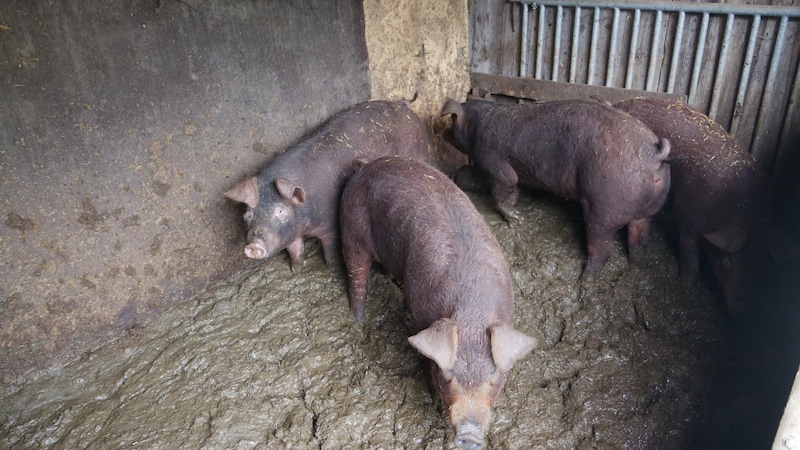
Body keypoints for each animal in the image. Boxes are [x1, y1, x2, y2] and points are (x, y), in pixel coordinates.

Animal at [340, 156, 536, 450]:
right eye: (447, 375)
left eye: (493, 375)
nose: (469, 435)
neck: (472, 313)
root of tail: (366, 165)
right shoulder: (420, 313)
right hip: (352, 227)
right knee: (357, 275)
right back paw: (359, 320)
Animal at [440, 96, 672, 276]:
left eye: (451, 122)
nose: (441, 133)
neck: (476, 127)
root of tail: (653, 154)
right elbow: (514, 192)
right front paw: (518, 219)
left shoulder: (494, 162)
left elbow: (503, 189)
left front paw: (517, 219)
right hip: (650, 209)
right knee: (639, 242)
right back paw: (635, 268)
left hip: (606, 203)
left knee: (602, 248)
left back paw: (585, 278)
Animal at [612, 98, 776, 310]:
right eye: (730, 261)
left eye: (764, 265)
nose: (745, 308)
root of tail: (619, 104)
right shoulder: (688, 214)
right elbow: (689, 255)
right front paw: (685, 284)